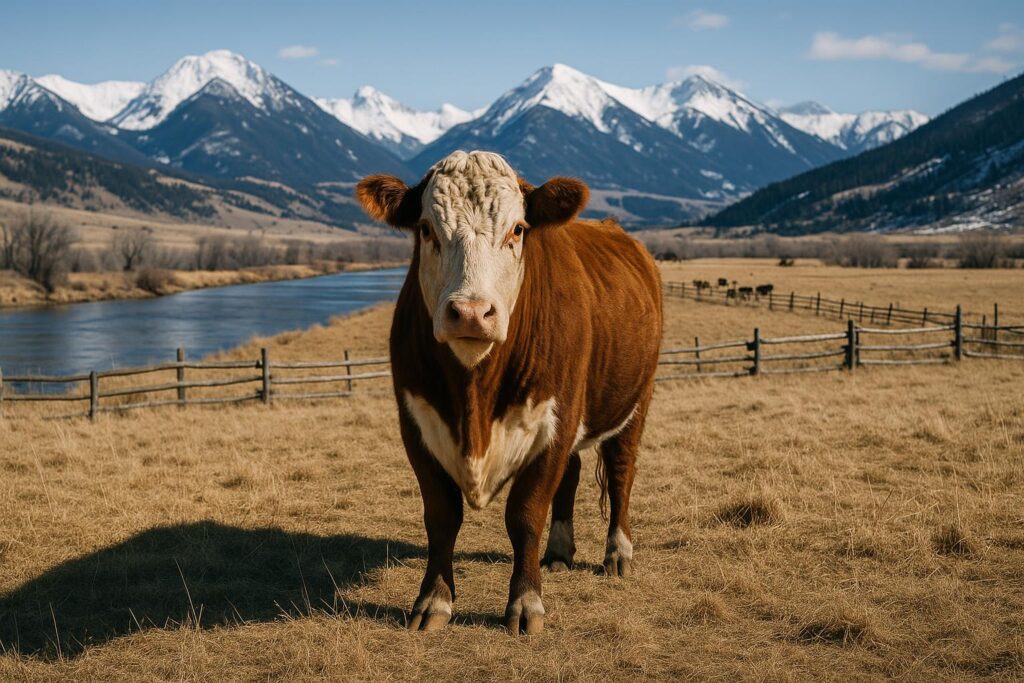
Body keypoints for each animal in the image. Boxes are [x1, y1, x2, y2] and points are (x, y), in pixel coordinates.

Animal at [356, 151, 663, 636]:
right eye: (426, 228)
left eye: (517, 229)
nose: (470, 313)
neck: (474, 397)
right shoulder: (416, 422)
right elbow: (441, 516)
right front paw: (432, 601)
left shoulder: (555, 421)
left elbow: (525, 514)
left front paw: (526, 603)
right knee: (573, 475)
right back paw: (558, 552)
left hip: (636, 399)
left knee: (620, 472)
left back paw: (618, 553)